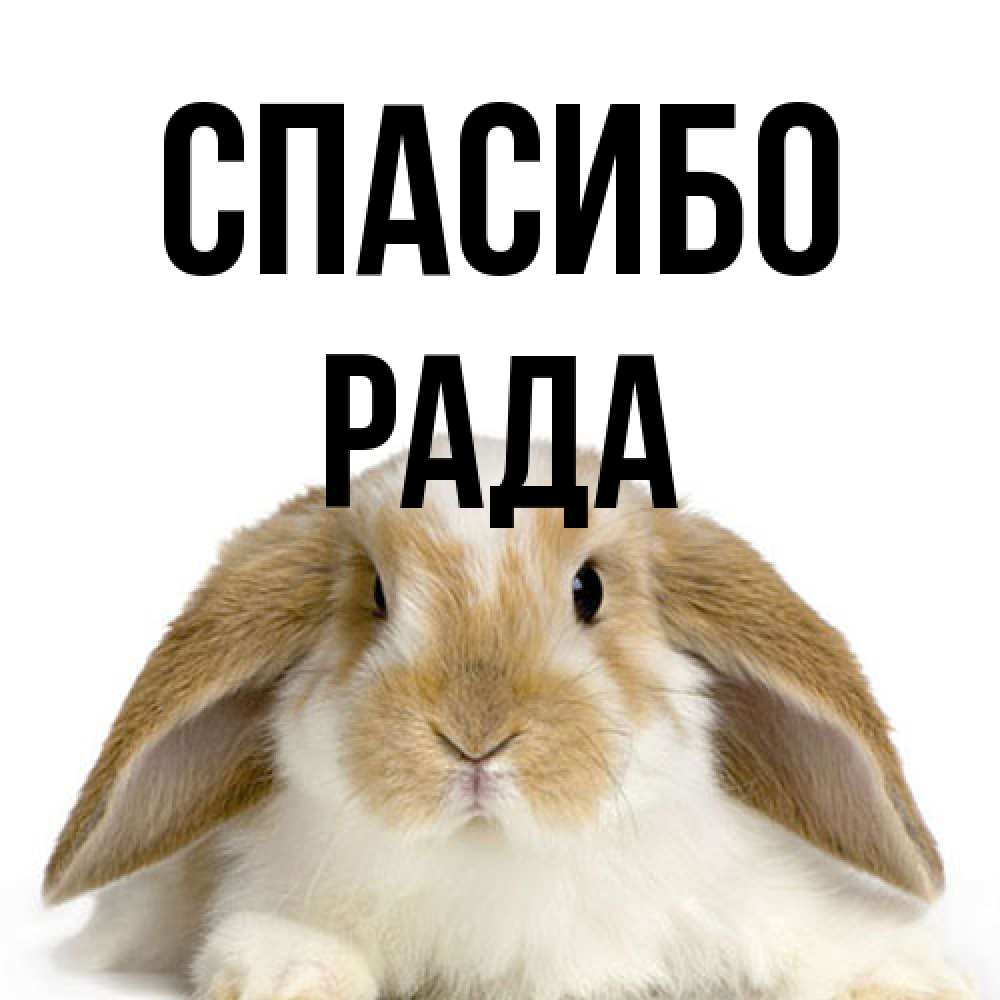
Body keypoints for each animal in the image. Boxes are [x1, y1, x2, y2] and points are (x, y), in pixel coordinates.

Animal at [45, 438, 975, 1000]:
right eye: (376, 595)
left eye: (589, 589)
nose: (475, 737)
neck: (495, 857)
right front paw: (290, 977)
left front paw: (909, 978)